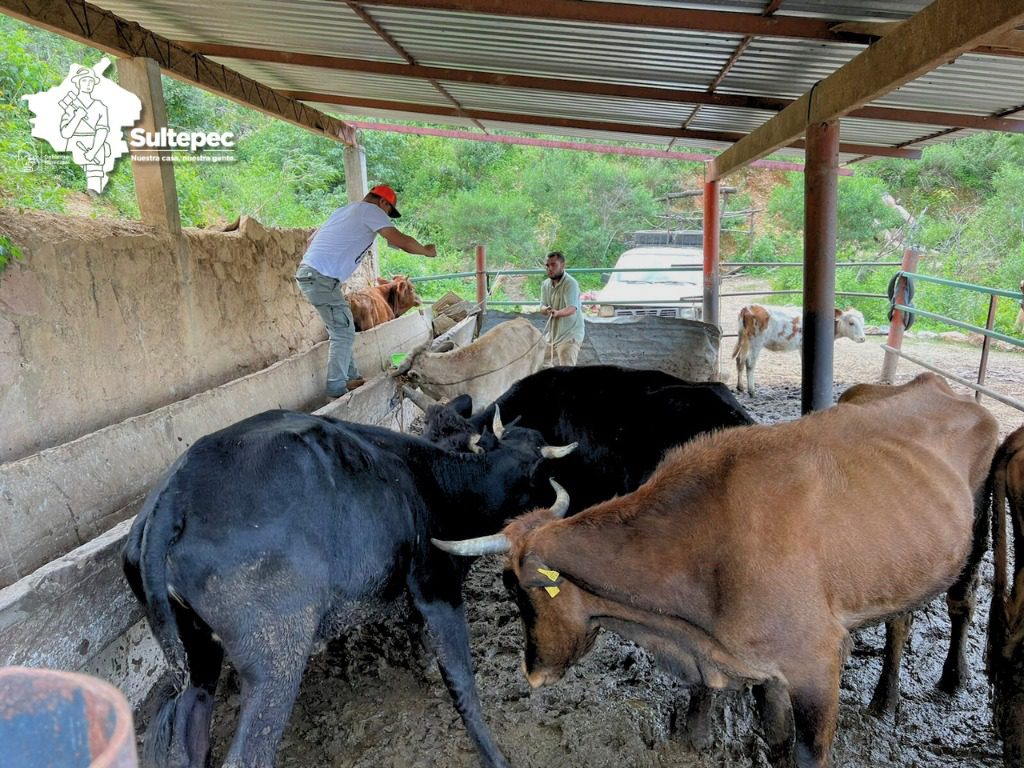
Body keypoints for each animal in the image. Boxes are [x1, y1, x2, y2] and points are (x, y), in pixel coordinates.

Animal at [121, 411, 577, 765]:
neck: (435, 485)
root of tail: (172, 499)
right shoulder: (437, 585)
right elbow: (462, 682)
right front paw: (494, 756)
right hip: (276, 655)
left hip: (198, 656)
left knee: (188, 741)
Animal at [733, 303, 868, 393]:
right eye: (851, 323)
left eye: (863, 322)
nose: (862, 338)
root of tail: (748, 308)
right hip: (756, 341)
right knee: (750, 362)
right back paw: (752, 391)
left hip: (744, 339)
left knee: (740, 360)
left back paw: (740, 387)